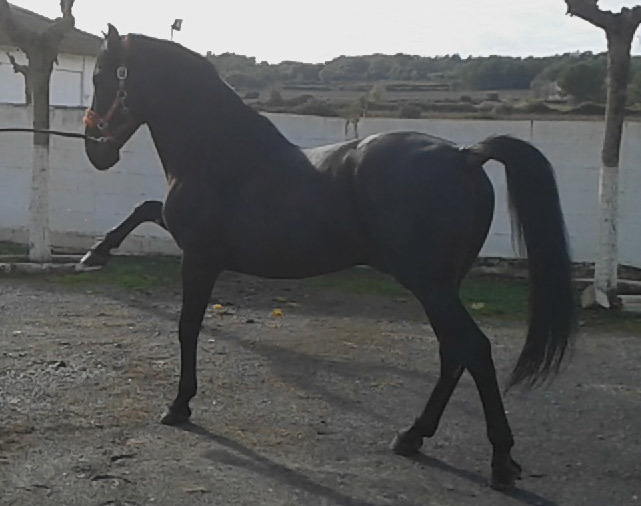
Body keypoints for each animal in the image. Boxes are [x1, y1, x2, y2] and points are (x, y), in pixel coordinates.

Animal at [83, 24, 576, 491]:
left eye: (102, 76)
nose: (95, 149)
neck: (219, 152)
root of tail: (464, 155)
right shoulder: (189, 241)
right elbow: (145, 209)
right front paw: (95, 254)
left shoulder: (200, 258)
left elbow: (187, 328)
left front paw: (179, 405)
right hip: (442, 287)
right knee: (454, 352)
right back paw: (412, 436)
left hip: (430, 285)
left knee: (473, 348)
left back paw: (500, 462)